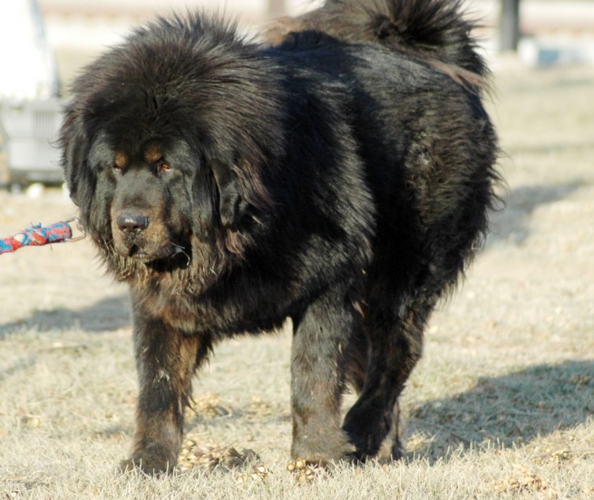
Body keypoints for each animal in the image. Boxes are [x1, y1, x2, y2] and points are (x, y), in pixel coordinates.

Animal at [59, 0, 494, 472]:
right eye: (115, 166)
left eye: (166, 166)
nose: (130, 223)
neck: (243, 229)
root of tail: (428, 56)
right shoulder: (162, 302)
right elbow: (158, 387)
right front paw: (149, 461)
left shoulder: (329, 281)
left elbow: (313, 374)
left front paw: (315, 456)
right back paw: (379, 447)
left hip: (405, 265)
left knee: (395, 352)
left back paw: (361, 429)